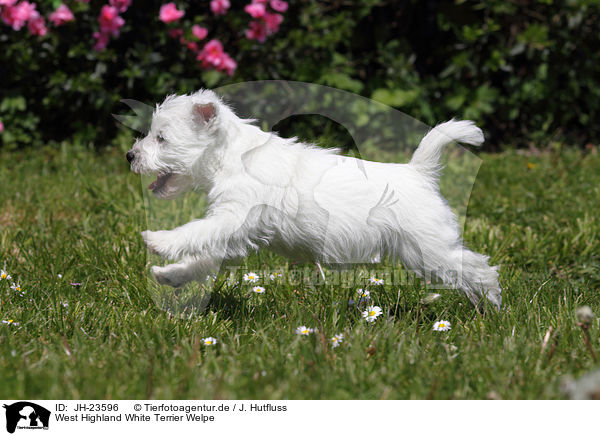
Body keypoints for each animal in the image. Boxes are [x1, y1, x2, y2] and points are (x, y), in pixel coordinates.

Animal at [126, 89, 502, 310]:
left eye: (161, 138)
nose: (130, 155)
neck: (231, 157)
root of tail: (419, 173)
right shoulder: (237, 232)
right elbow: (204, 256)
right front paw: (169, 275)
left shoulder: (235, 217)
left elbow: (194, 232)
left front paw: (159, 241)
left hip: (429, 248)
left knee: (480, 269)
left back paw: (492, 308)